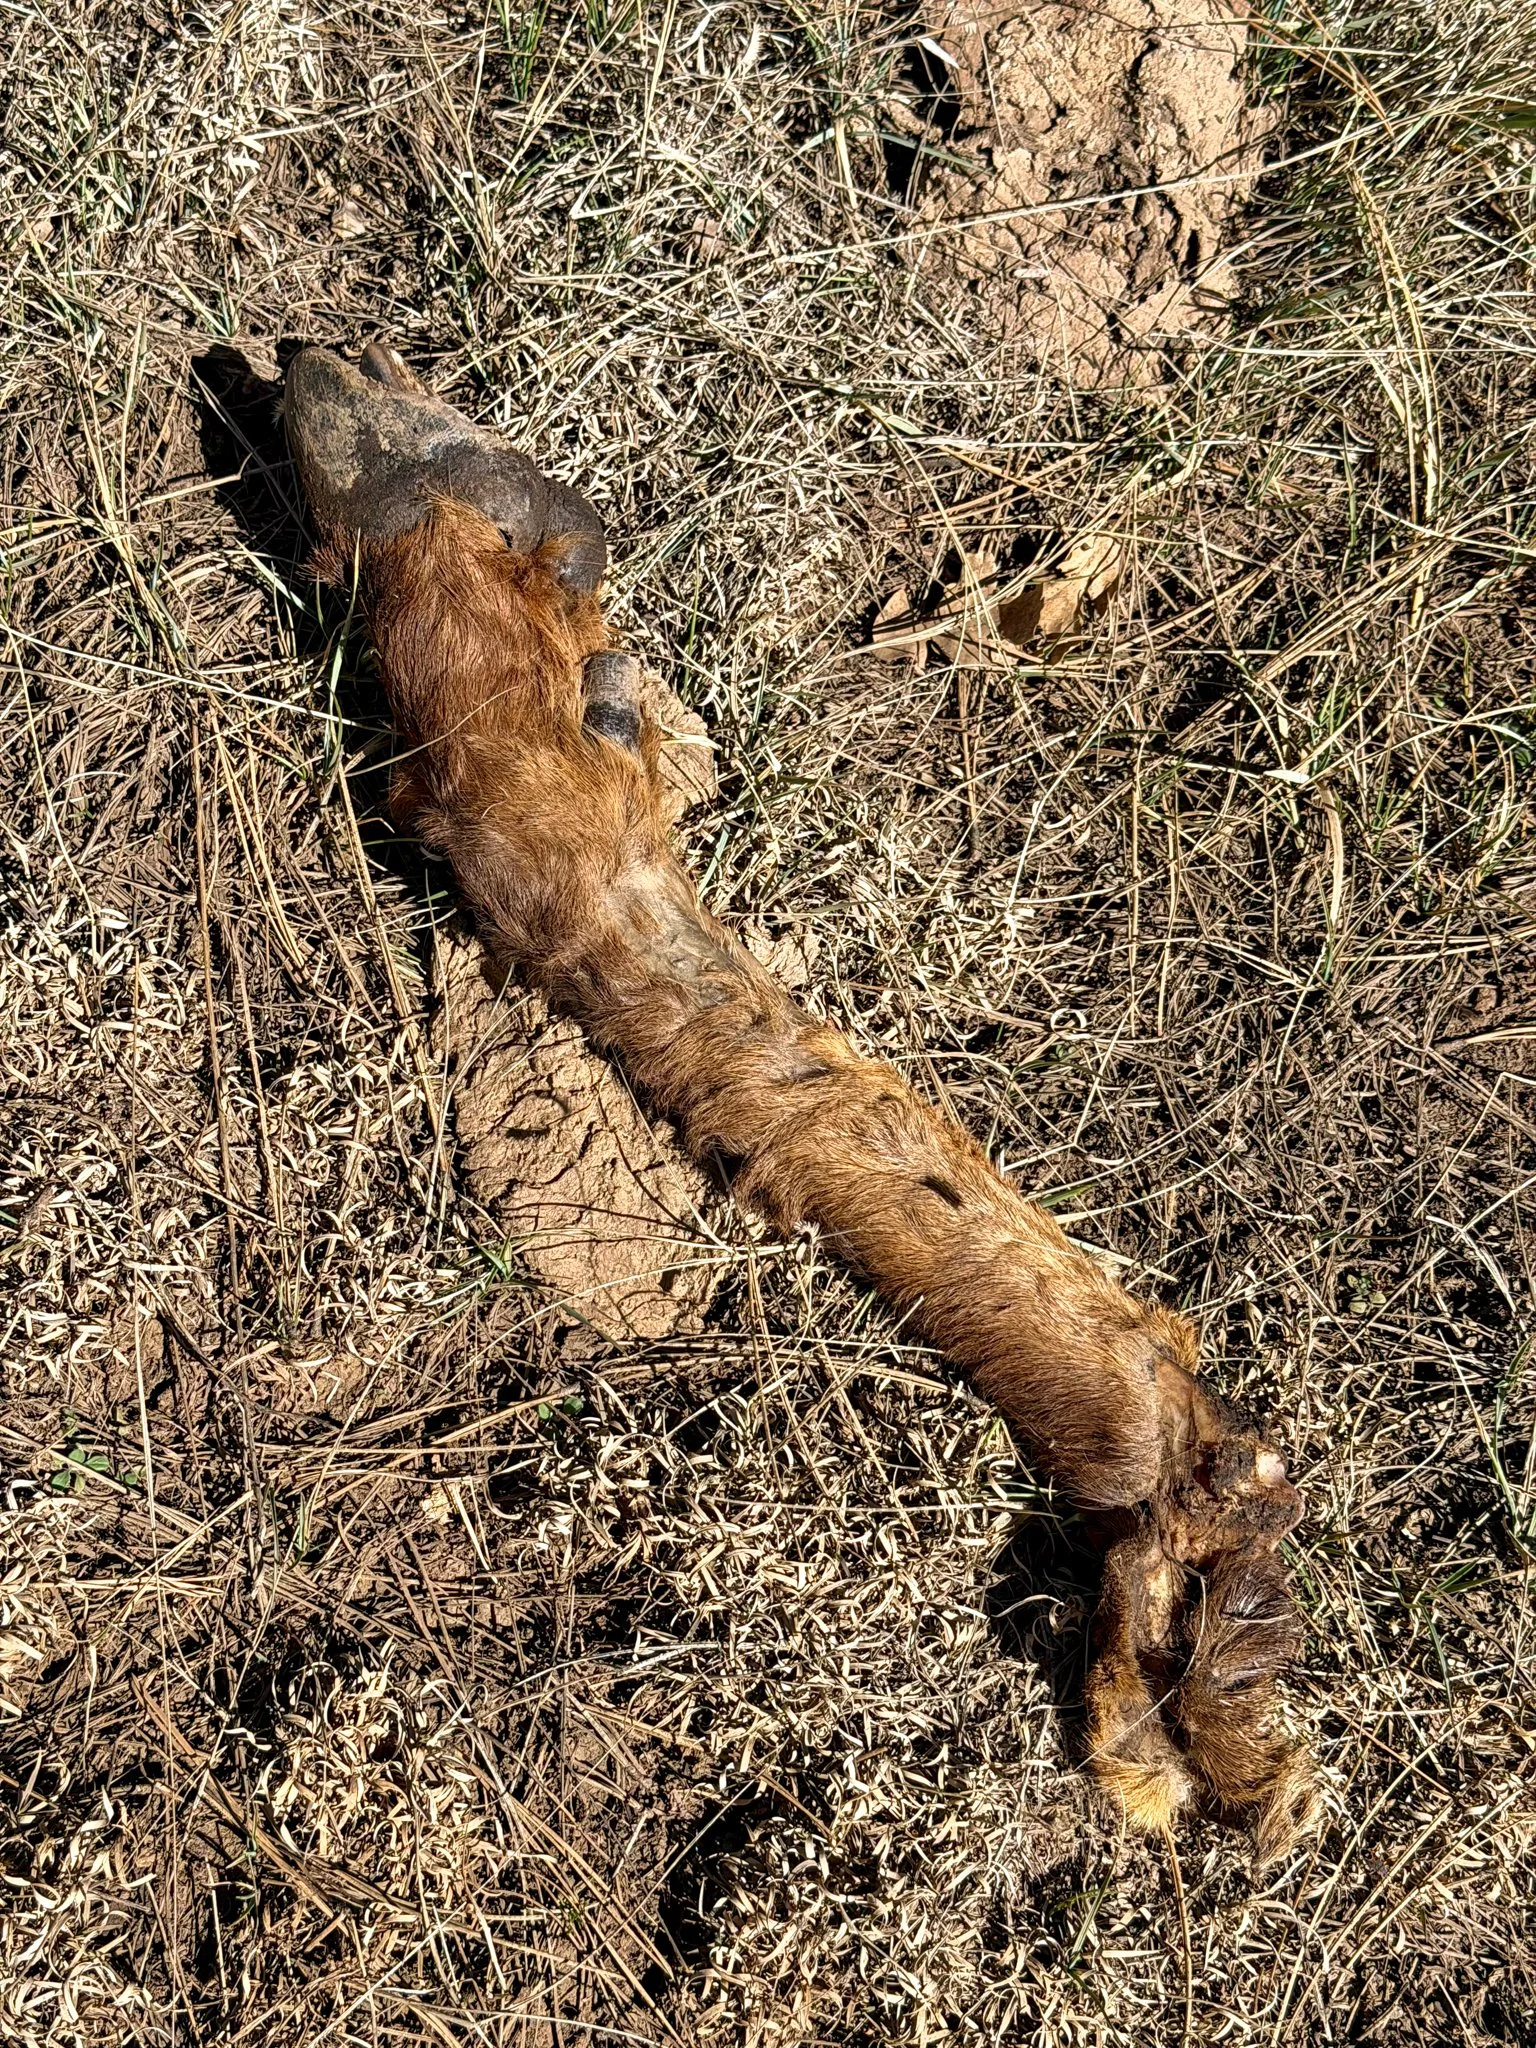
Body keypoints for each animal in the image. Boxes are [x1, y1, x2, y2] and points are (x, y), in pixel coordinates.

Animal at [282, 340, 1313, 1857]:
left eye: (387, 380)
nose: (289, 357)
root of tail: (1204, 1460)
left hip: (1160, 1480)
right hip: (1147, 1497)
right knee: (1168, 1609)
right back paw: (1190, 1761)